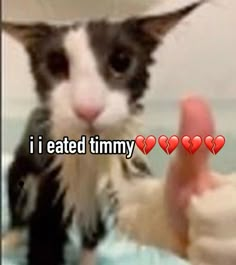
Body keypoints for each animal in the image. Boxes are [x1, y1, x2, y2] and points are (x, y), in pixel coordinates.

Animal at [2, 2, 205, 264]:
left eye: (121, 61)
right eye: (56, 65)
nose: (88, 108)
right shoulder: (50, 181)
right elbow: (44, 237)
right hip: (23, 168)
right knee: (19, 201)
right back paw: (9, 239)